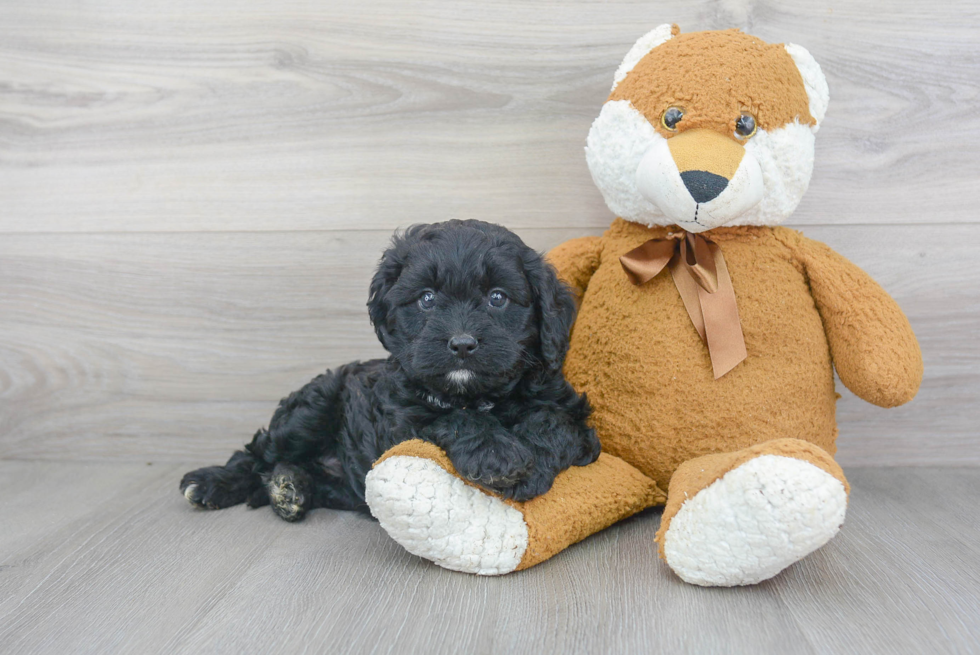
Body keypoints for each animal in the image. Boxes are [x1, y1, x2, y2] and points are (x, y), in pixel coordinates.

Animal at [180, 220, 600, 524]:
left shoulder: (580, 424)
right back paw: (215, 483)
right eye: (427, 298)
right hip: (310, 411)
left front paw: (531, 465)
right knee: (257, 454)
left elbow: (554, 423)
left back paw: (289, 488)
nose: (462, 344)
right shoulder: (401, 423)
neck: (476, 395)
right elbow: (453, 419)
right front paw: (496, 454)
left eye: (498, 297)